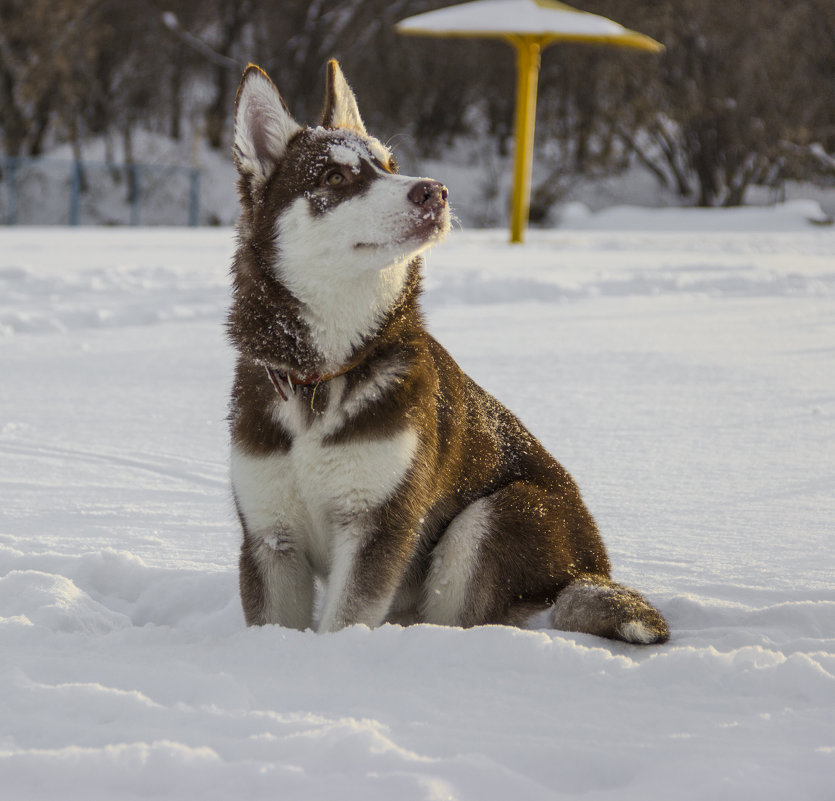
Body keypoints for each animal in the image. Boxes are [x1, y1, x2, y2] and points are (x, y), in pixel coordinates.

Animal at [229, 59, 672, 644]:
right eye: (335, 177)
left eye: (390, 165)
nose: (433, 191)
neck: (324, 375)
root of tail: (593, 567)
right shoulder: (269, 536)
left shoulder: (380, 526)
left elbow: (345, 622)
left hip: (499, 517)